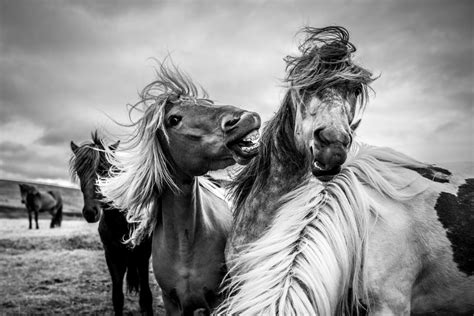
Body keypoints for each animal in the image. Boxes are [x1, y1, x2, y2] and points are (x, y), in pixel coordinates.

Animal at [70, 131, 154, 316]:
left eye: (103, 169)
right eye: (80, 172)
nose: (90, 212)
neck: (122, 221)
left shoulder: (143, 255)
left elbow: (146, 297)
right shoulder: (112, 256)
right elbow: (117, 298)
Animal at [98, 62, 262, 316]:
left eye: (209, 103)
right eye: (174, 119)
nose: (245, 118)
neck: (184, 247)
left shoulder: (219, 301)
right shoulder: (173, 303)